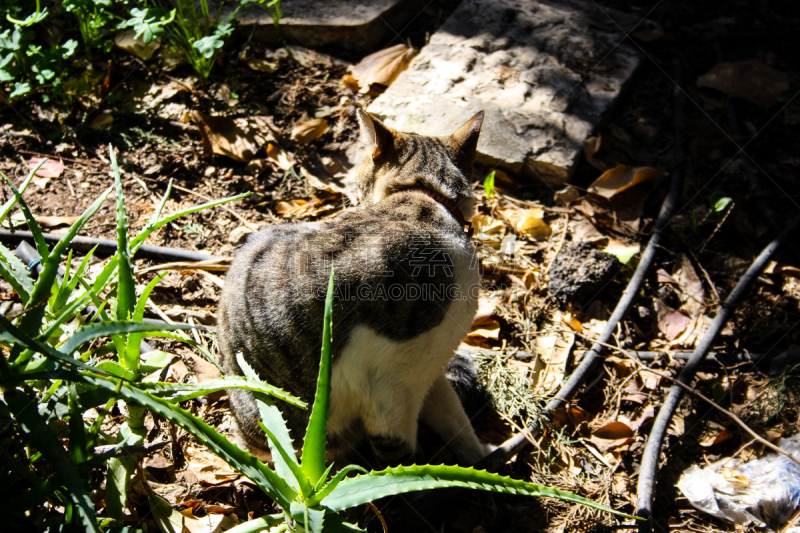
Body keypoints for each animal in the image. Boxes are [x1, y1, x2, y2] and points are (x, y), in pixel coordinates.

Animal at [220, 108, 494, 466]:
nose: (354, 201)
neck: (423, 197)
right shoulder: (393, 390)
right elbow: (401, 454)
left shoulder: (429, 370)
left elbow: (453, 418)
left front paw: (481, 456)